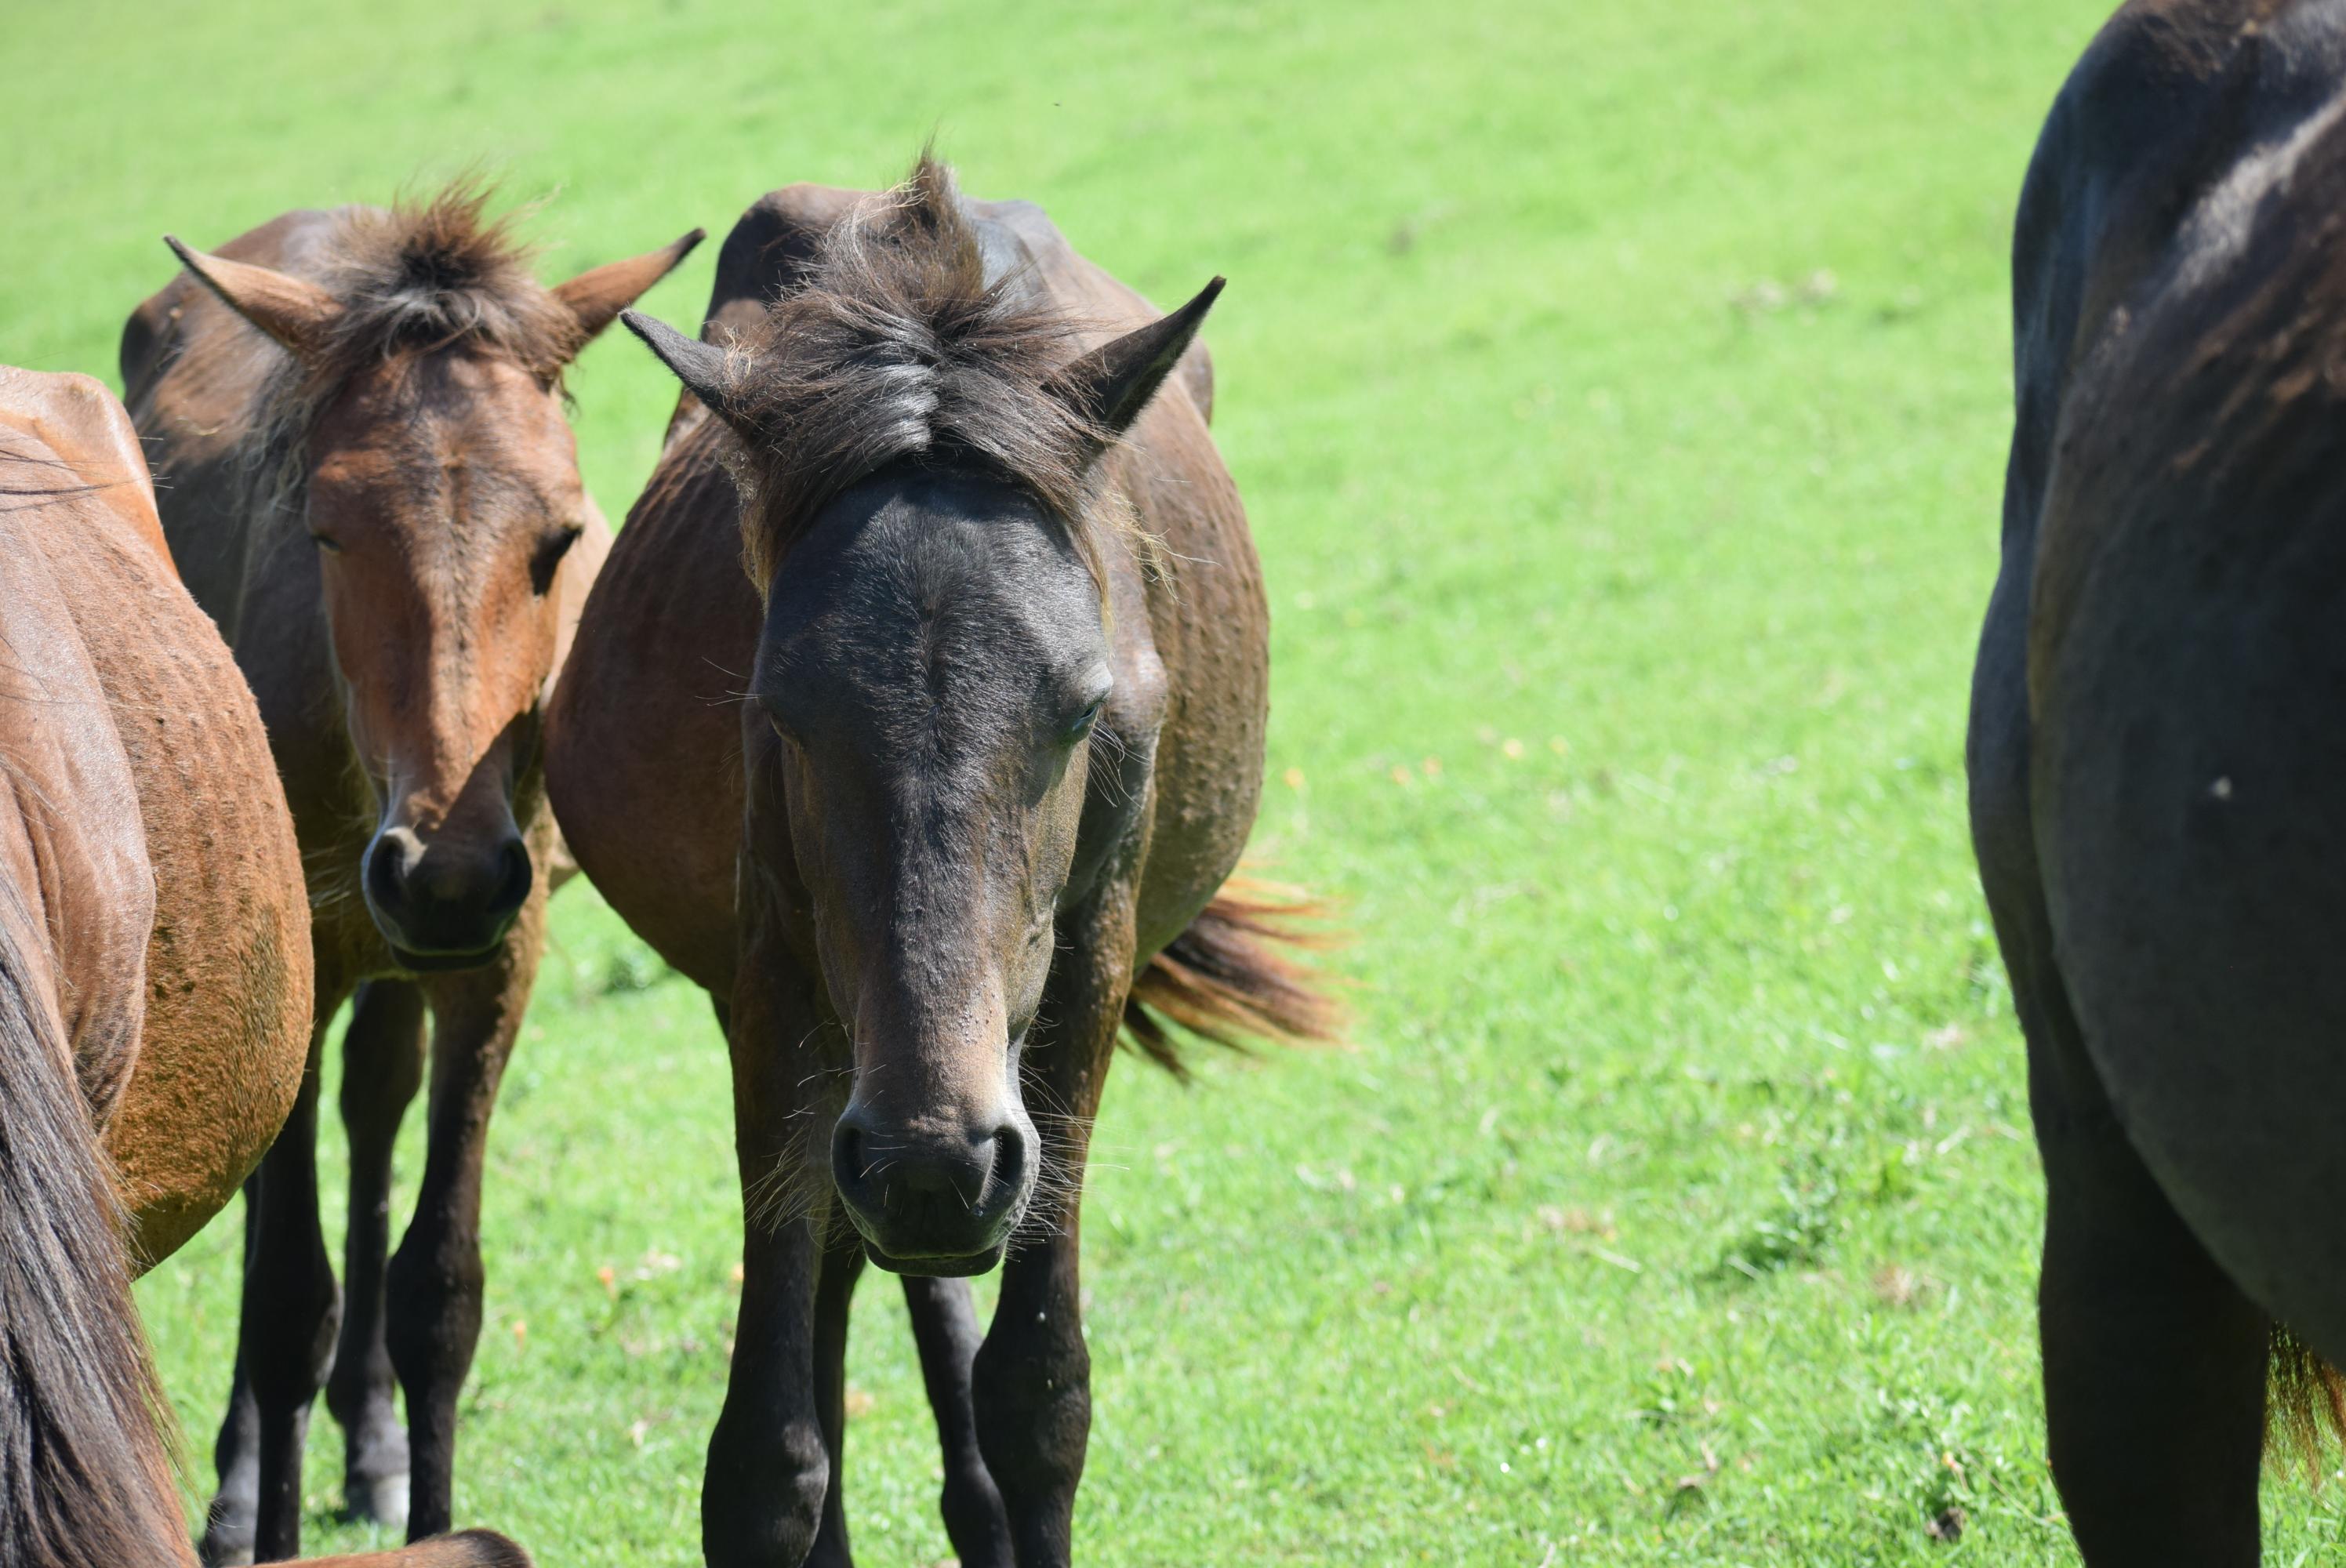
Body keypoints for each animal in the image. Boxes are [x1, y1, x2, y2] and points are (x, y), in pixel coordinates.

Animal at [118, 180, 699, 1559]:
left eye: (561, 536)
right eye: (326, 530)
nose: (444, 872)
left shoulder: (497, 959)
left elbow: (440, 1289)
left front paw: (421, 1492)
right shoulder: (293, 957)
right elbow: (285, 1299)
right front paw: (264, 1516)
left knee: (374, 1102)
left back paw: (371, 1445)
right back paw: (236, 1491)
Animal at [537, 150, 1342, 1567]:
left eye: (1083, 708)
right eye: (780, 711)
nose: (934, 1162)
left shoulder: (1084, 978)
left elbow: (1036, 1398)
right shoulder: (772, 989)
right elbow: (767, 1455)